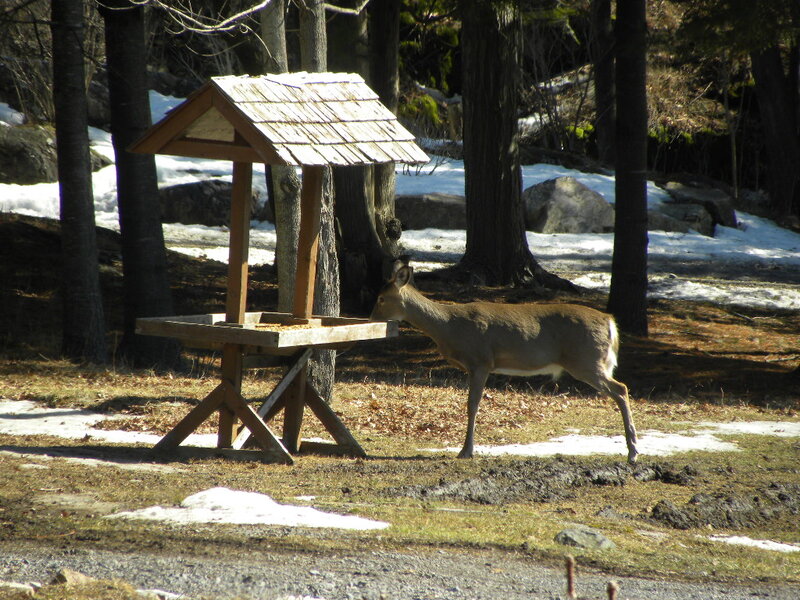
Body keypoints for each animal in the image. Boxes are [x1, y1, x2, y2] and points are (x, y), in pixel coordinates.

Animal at [370, 259, 639, 464]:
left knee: (621, 388)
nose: (371, 317)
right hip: (589, 361)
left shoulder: (481, 360)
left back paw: (633, 451)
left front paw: (466, 451)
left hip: (586, 359)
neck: (449, 327)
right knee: (619, 390)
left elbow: (472, 405)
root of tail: (610, 322)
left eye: (381, 298)